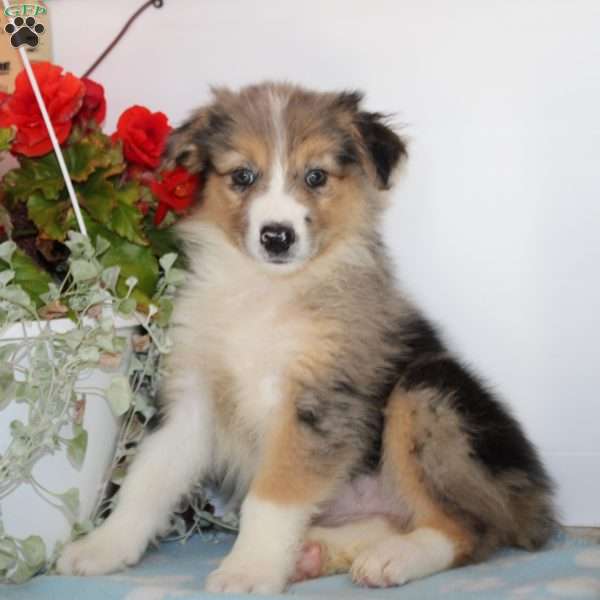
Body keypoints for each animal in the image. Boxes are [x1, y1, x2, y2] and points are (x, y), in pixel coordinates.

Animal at [58, 84, 556, 596]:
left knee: (470, 528)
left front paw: (248, 570)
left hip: (428, 394)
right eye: (243, 175)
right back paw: (315, 553)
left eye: (316, 176)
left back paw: (394, 558)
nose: (277, 236)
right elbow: (147, 479)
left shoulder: (317, 400)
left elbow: (272, 496)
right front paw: (102, 547)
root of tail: (537, 502)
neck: (267, 292)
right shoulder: (192, 395)